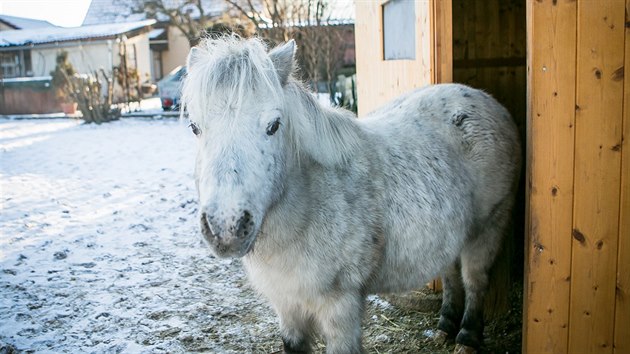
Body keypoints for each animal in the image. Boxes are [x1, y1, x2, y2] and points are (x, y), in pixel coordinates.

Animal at [180, 36, 520, 354]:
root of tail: (487, 101)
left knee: (475, 280)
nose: (226, 228)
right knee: (450, 273)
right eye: (195, 127)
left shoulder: (341, 308)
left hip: (489, 228)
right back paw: (445, 327)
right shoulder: (287, 306)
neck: (310, 209)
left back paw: (467, 338)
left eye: (274, 125)